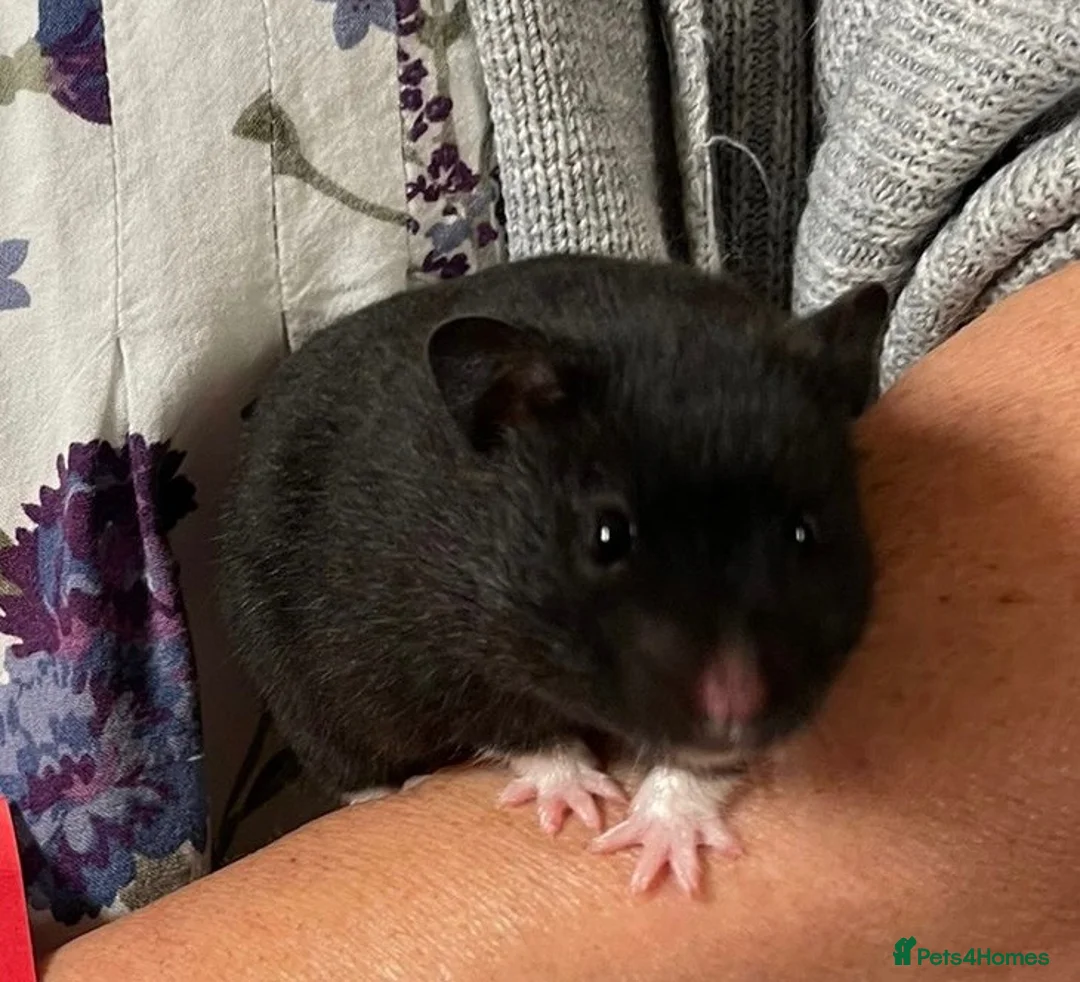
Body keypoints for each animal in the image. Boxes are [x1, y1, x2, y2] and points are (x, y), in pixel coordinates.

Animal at [217, 255, 889, 895]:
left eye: (804, 532)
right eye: (607, 535)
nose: (733, 716)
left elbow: (696, 766)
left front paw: (663, 846)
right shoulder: (449, 658)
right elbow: (528, 734)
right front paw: (584, 803)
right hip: (300, 691)